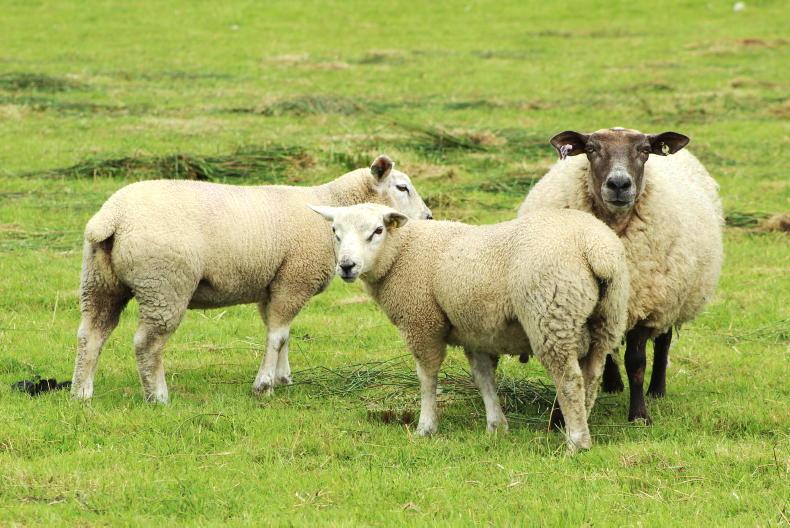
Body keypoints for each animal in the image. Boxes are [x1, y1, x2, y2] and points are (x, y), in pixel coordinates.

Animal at [70, 155, 432, 403]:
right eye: (402, 187)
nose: (429, 218)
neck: (332, 205)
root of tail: (113, 218)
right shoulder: (294, 279)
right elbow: (276, 334)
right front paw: (264, 384)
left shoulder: (274, 283)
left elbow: (282, 333)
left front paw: (282, 377)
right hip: (165, 285)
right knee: (147, 343)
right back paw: (158, 396)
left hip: (100, 281)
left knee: (91, 334)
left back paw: (82, 392)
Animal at [310, 203, 630, 451]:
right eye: (335, 232)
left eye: (377, 231)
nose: (347, 266)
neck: (401, 252)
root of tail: (595, 249)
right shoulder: (476, 331)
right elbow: (483, 378)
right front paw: (496, 425)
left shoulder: (421, 323)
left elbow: (427, 378)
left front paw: (426, 427)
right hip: (607, 319)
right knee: (591, 376)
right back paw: (580, 423)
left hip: (551, 316)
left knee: (569, 380)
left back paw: (577, 442)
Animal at [518, 127, 724, 423]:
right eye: (591, 149)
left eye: (645, 150)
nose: (618, 184)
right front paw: (560, 416)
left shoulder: (645, 304)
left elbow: (636, 363)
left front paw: (639, 416)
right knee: (607, 346)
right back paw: (612, 384)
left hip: (671, 297)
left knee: (663, 342)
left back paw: (657, 389)